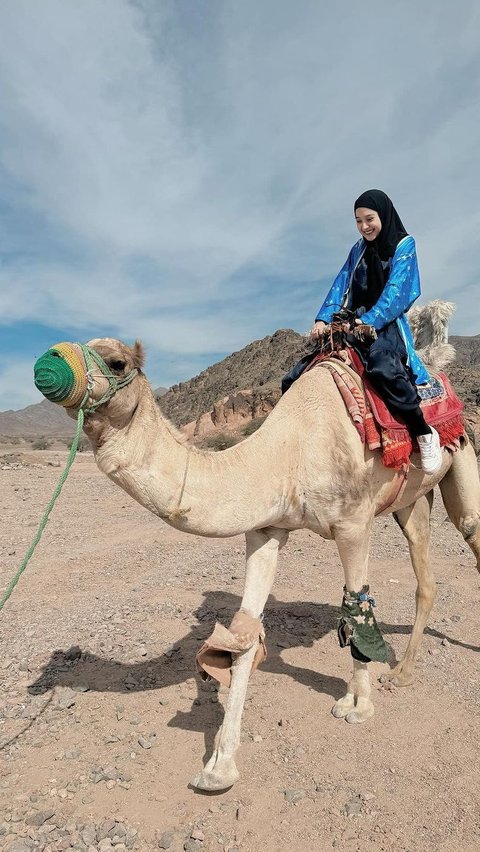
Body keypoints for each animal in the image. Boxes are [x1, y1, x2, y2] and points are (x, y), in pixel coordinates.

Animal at [36, 318, 480, 792]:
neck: (287, 453)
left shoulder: (352, 524)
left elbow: (357, 609)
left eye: (117, 362)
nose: (47, 363)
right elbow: (244, 635)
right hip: (409, 501)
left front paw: (357, 704)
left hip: (460, 460)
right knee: (424, 569)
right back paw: (403, 672)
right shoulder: (266, 529)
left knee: (470, 529)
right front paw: (218, 766)